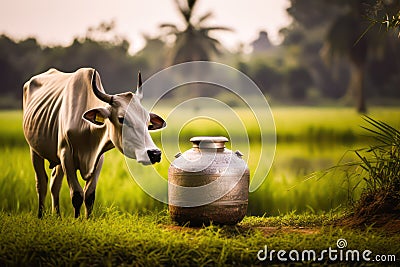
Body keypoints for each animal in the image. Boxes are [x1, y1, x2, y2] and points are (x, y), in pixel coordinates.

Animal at [22, 68, 166, 219]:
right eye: (122, 119)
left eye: (147, 120)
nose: (154, 153)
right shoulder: (66, 155)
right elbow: (77, 195)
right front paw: (77, 220)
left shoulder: (98, 158)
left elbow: (89, 195)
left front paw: (87, 219)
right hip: (34, 150)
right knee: (42, 183)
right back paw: (40, 216)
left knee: (55, 184)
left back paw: (57, 216)